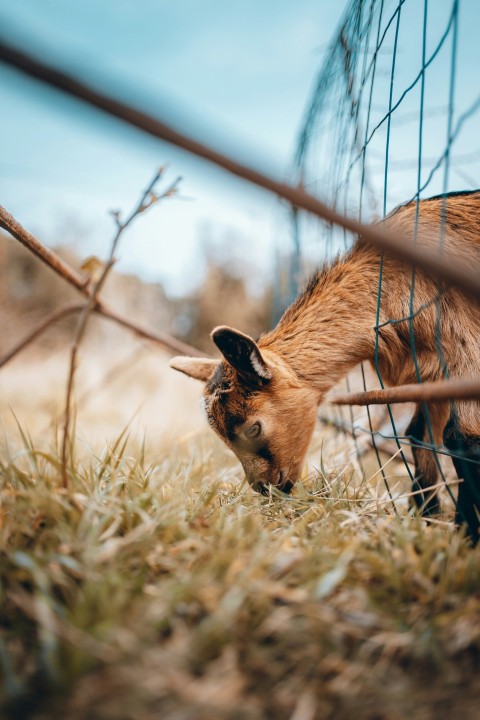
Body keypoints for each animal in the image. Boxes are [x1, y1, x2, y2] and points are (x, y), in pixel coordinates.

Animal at [172, 188, 480, 544]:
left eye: (253, 428)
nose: (265, 489)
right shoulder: (433, 377)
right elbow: (421, 436)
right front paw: (427, 520)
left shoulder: (467, 351)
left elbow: (462, 438)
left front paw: (465, 536)